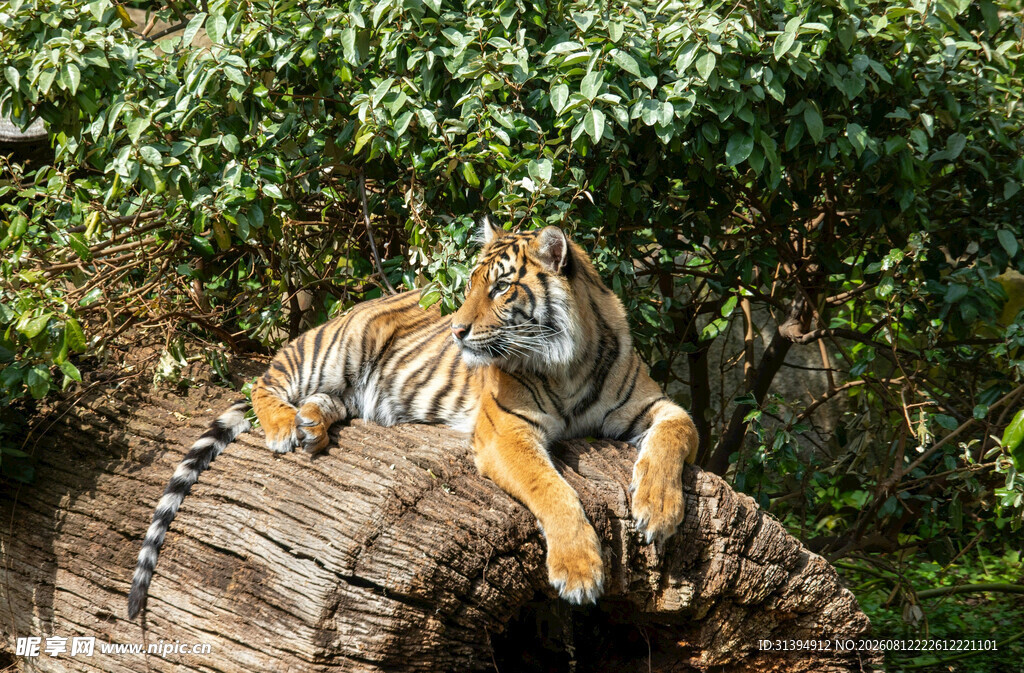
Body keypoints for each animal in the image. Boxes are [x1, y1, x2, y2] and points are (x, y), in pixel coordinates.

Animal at [128, 218, 698, 619]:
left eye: (501, 288)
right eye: (470, 286)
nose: (458, 331)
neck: (569, 361)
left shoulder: (655, 405)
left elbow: (678, 432)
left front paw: (659, 509)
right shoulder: (506, 429)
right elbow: (553, 489)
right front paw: (578, 572)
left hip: (345, 385)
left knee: (326, 401)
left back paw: (312, 425)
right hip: (332, 351)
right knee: (260, 383)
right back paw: (287, 427)